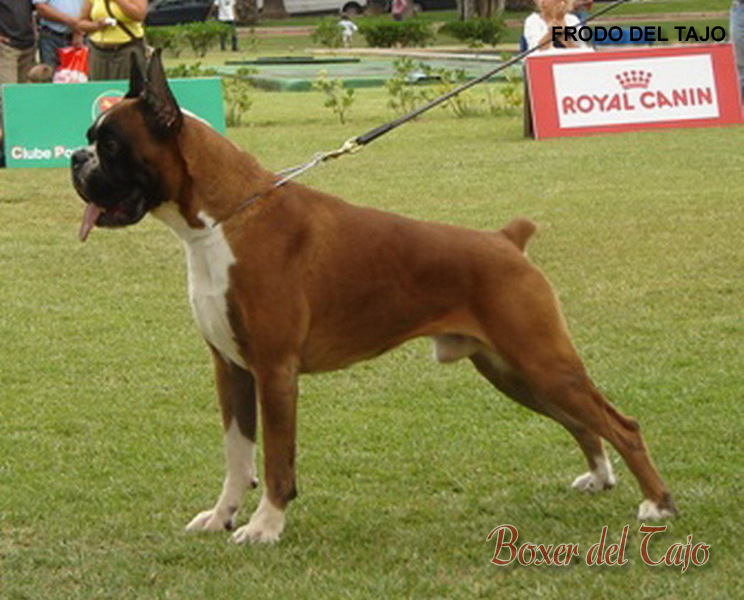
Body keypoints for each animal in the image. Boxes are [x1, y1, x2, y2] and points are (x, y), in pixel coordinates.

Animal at [70, 51, 675, 544]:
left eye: (112, 145)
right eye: (91, 137)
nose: (77, 157)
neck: (222, 220)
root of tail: (506, 239)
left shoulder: (274, 371)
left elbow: (277, 460)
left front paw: (265, 527)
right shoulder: (231, 369)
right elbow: (237, 456)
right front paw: (222, 517)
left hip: (542, 361)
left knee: (621, 425)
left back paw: (657, 504)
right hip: (514, 371)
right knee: (583, 422)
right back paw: (600, 477)